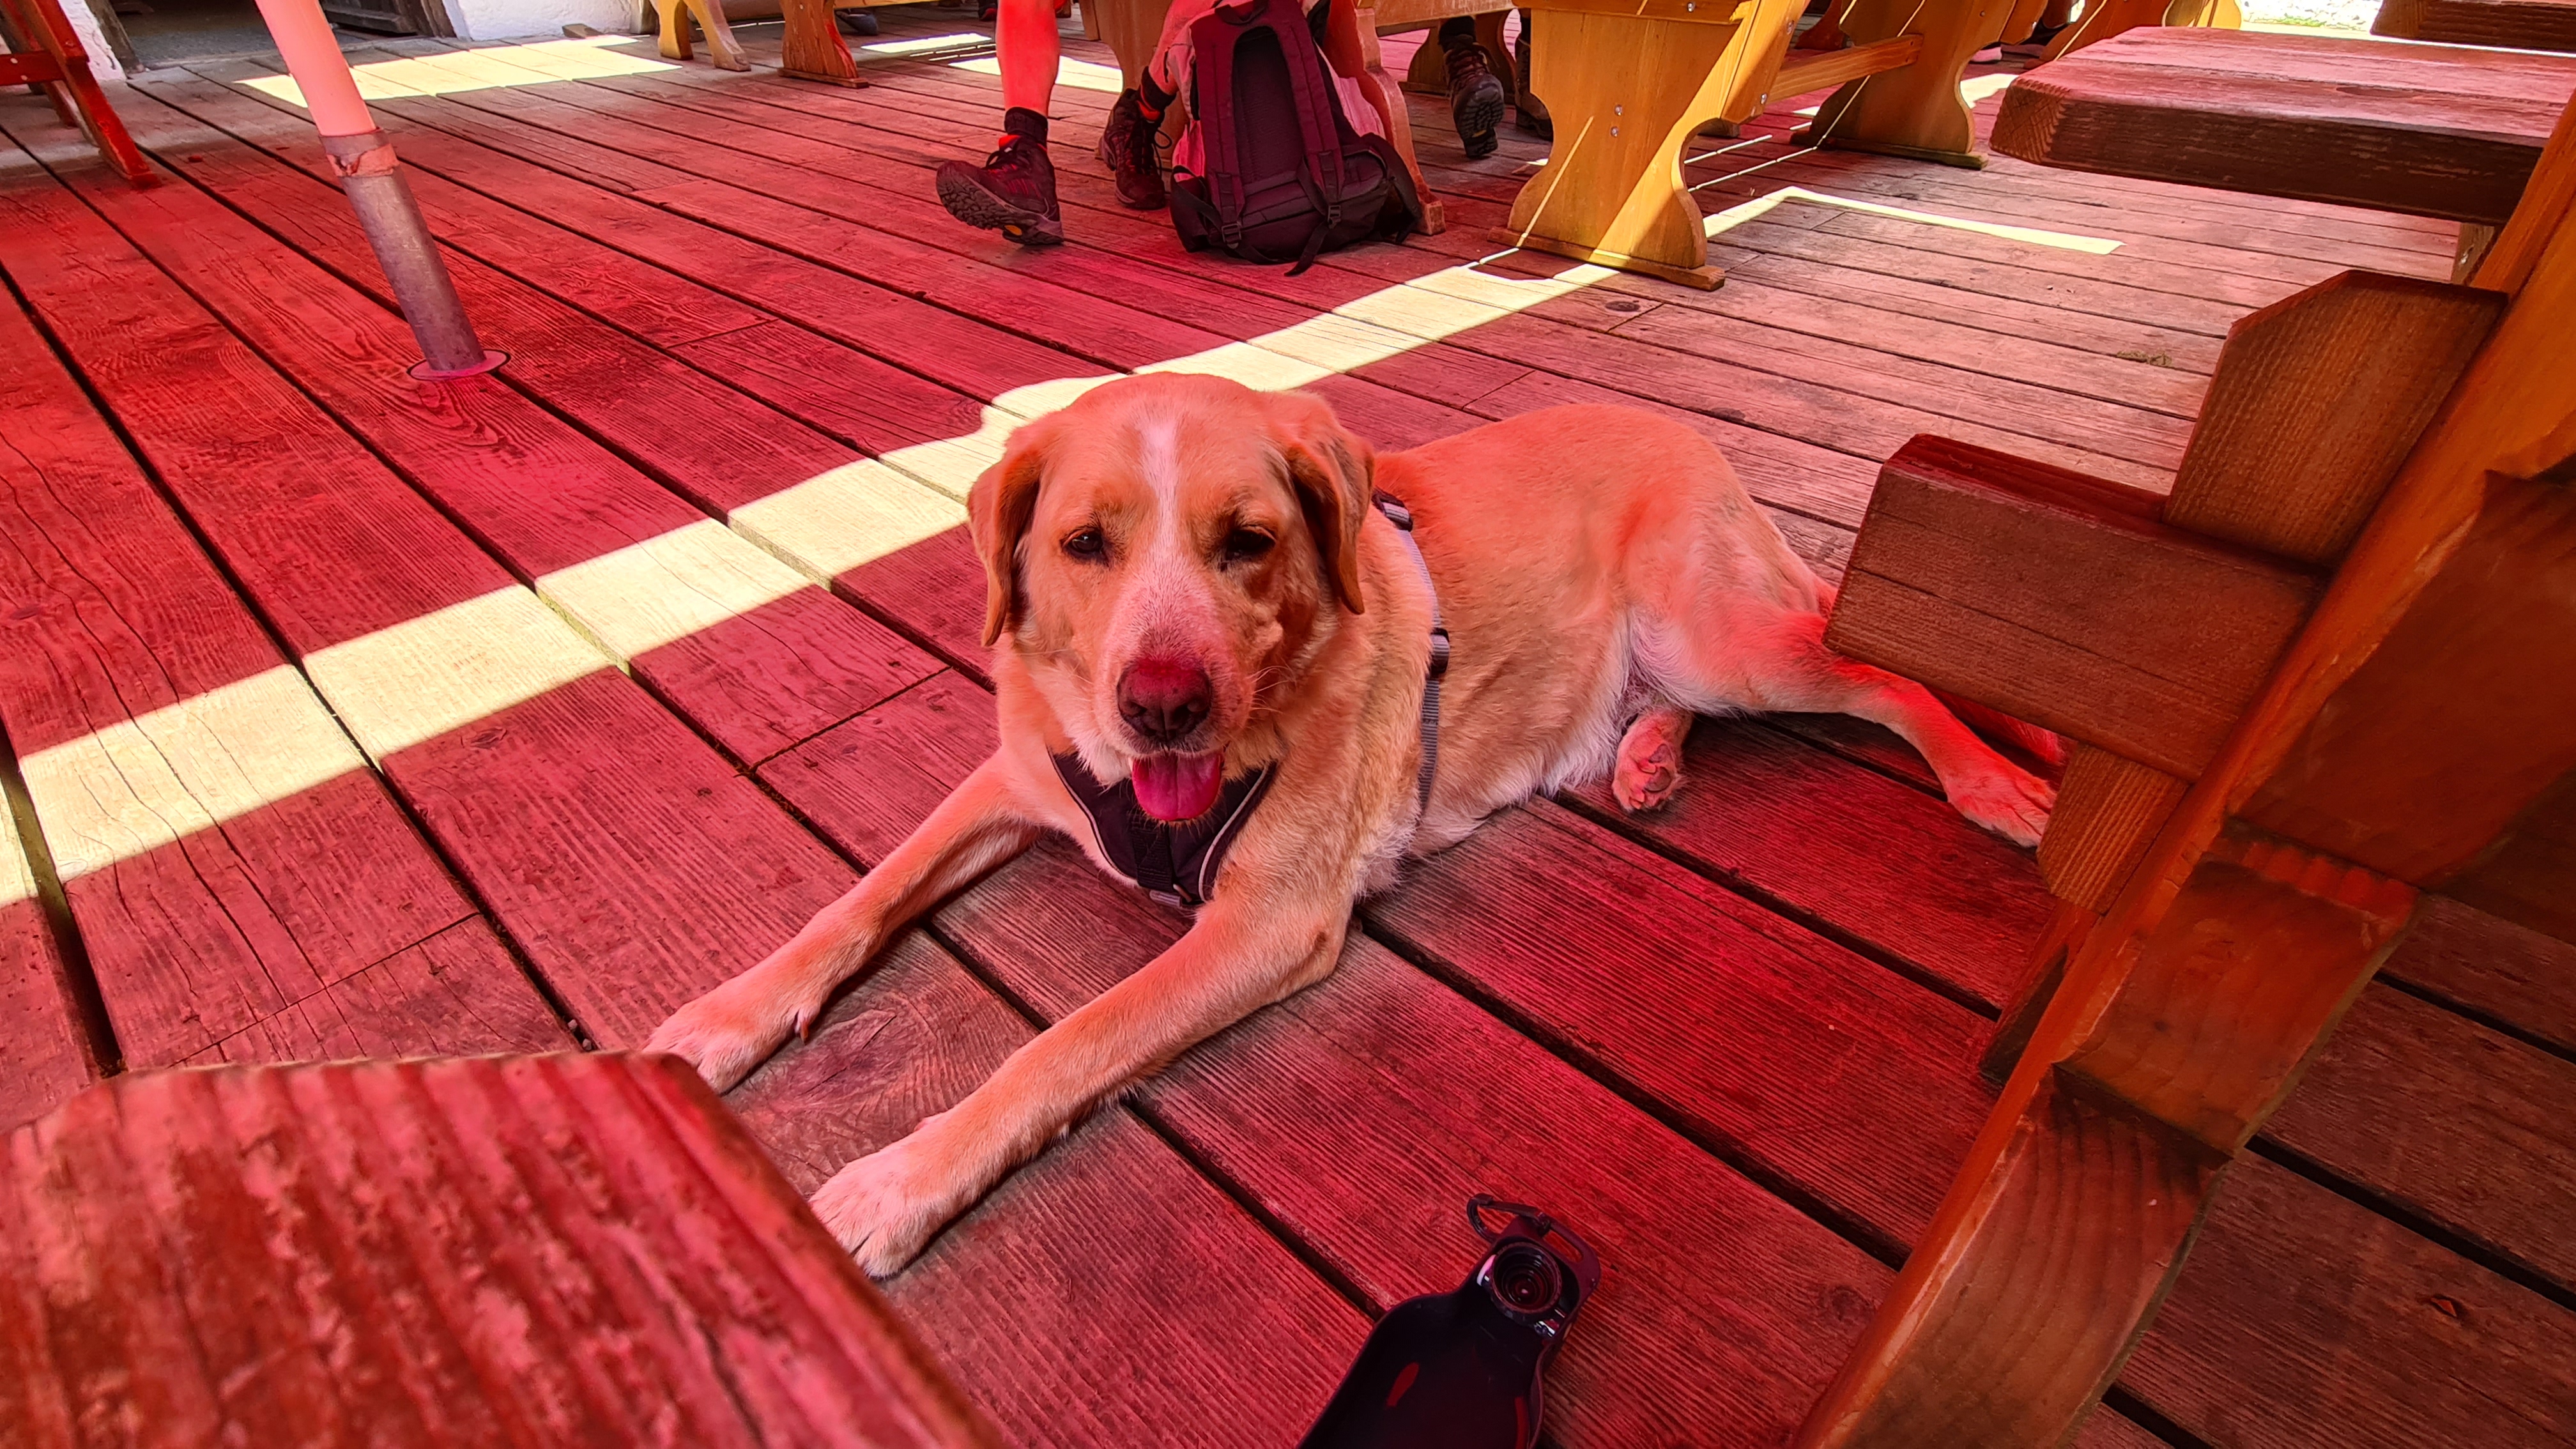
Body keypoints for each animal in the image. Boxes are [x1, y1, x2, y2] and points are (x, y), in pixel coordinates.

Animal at [648, 375, 2056, 1275]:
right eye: (1085, 543)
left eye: (1248, 541)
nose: (1162, 708)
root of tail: (1692, 439)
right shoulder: (1011, 782)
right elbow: (859, 896)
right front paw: (726, 1014)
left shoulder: (1265, 924)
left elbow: (1061, 1045)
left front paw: (900, 1180)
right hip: (1691, 657)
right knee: (1687, 700)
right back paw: (1648, 756)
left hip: (1726, 638)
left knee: (1879, 673)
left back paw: (1992, 781)